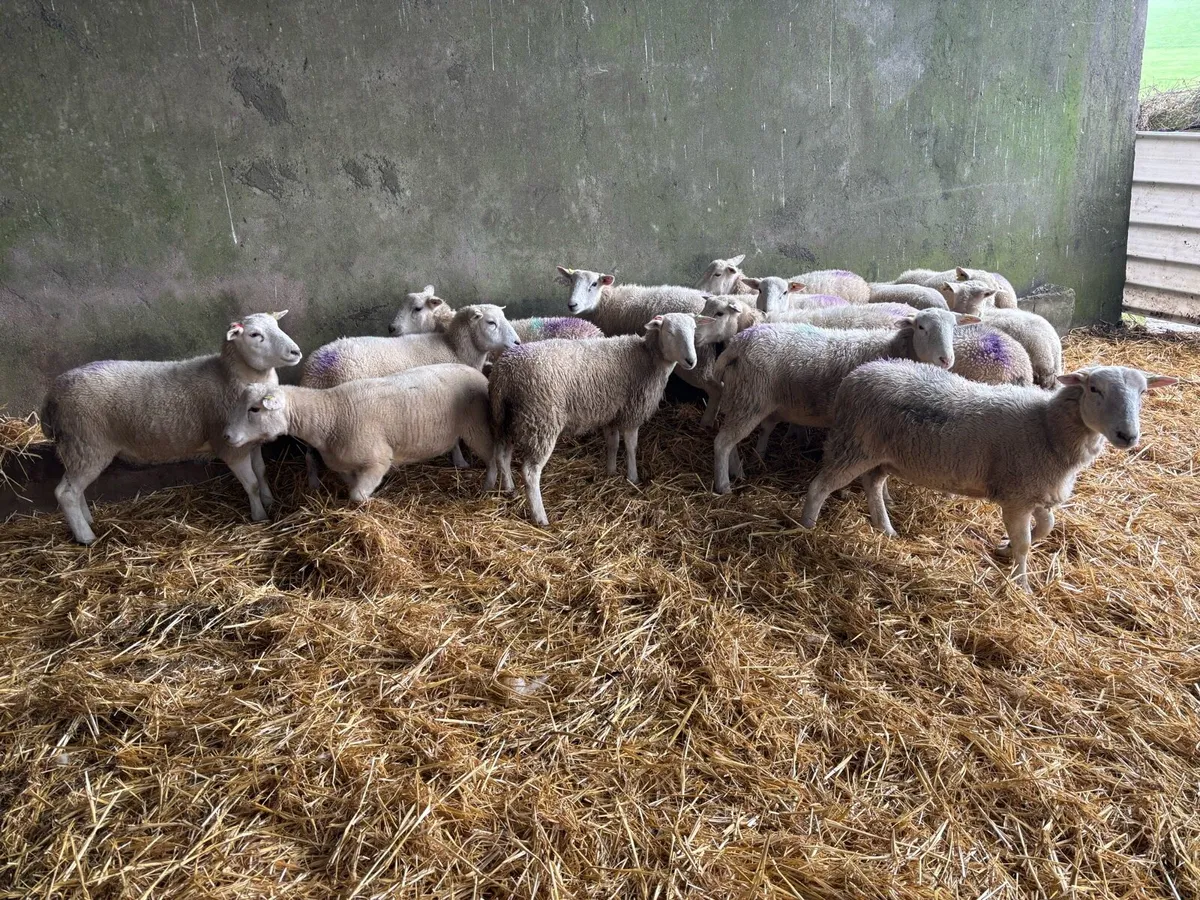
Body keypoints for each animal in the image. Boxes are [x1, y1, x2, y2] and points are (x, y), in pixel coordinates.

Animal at [41, 311, 303, 544]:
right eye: (254, 334)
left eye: (277, 326)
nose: (295, 351)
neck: (228, 377)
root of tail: (52, 393)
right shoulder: (230, 447)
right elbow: (252, 484)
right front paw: (260, 516)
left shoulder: (252, 442)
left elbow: (261, 472)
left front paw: (270, 501)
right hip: (87, 443)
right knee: (66, 493)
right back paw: (86, 537)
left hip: (78, 447)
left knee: (76, 490)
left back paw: (88, 521)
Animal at [223, 364, 495, 501]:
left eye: (255, 409)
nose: (226, 436)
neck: (331, 414)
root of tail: (477, 371)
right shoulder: (345, 465)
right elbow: (352, 487)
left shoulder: (379, 460)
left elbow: (357, 496)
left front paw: (373, 501)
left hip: (478, 427)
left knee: (493, 457)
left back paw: (489, 486)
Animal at [490, 312, 705, 526]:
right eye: (669, 332)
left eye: (694, 329)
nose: (691, 361)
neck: (648, 357)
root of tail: (505, 373)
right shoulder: (632, 412)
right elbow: (631, 446)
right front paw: (633, 477)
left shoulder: (611, 413)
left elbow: (613, 444)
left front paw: (611, 471)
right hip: (541, 422)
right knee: (530, 472)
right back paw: (540, 517)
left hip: (506, 419)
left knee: (502, 455)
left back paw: (509, 488)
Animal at [710, 308, 977, 494]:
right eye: (921, 327)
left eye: (954, 327)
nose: (946, 359)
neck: (891, 348)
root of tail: (737, 343)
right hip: (750, 397)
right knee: (722, 442)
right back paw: (724, 485)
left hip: (742, 396)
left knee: (731, 442)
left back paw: (737, 472)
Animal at [799, 362, 1177, 590]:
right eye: (1095, 389)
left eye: (1143, 392)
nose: (1128, 436)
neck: (1047, 427)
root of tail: (857, 374)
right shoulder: (1017, 496)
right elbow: (1027, 542)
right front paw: (1021, 584)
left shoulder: (1036, 492)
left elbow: (1046, 527)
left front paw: (1006, 547)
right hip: (854, 445)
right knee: (820, 486)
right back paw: (805, 528)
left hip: (881, 455)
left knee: (873, 485)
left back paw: (885, 529)